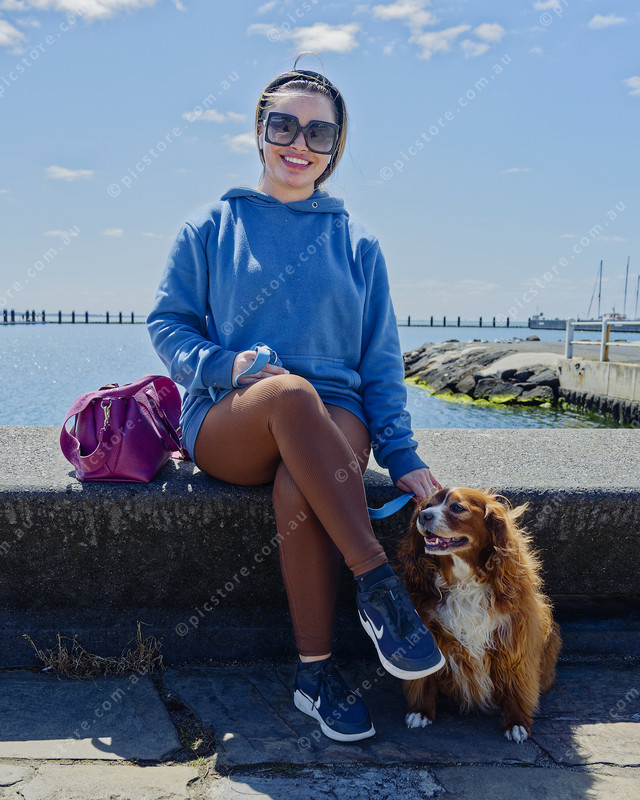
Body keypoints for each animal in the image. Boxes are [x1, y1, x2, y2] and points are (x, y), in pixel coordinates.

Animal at [396, 487, 561, 742]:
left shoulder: (514, 636)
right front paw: (421, 711)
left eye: (457, 507)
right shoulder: (429, 629)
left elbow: (516, 683)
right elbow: (427, 678)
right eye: (427, 506)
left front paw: (516, 723)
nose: (424, 516)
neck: (463, 579)